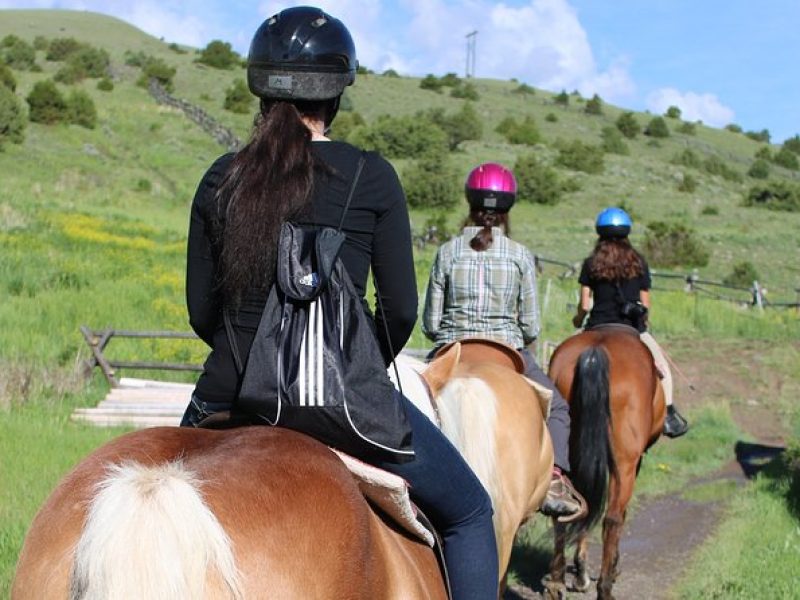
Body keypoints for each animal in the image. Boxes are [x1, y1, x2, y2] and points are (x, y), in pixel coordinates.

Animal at [540, 328, 664, 600]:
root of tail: (595, 353)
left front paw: (580, 574)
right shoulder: (632, 464)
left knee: (565, 511)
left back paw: (558, 581)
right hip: (624, 464)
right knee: (612, 518)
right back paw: (604, 588)